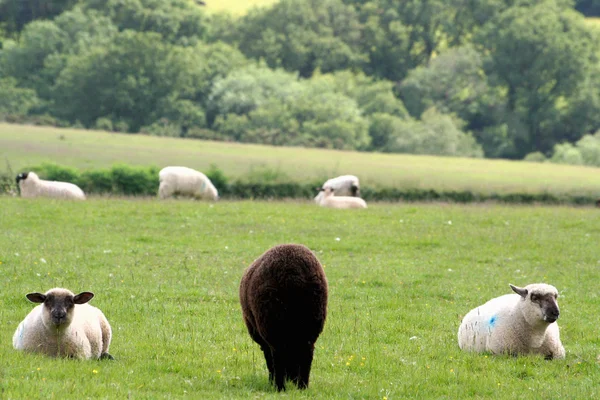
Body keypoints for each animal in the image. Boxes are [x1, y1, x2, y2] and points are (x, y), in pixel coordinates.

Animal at [239, 244, 328, 390]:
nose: (292, 379)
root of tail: (293, 274)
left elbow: (270, 361)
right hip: (311, 324)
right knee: (306, 356)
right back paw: (302, 386)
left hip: (272, 323)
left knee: (278, 356)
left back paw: (279, 387)